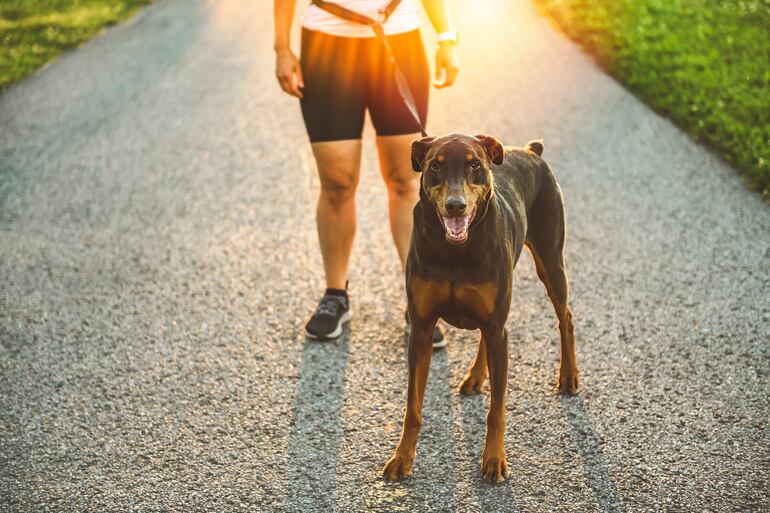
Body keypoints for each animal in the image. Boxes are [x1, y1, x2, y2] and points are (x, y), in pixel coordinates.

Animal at [380, 132, 580, 480]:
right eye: (435, 166)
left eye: (474, 165)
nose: (455, 205)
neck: (455, 251)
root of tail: (531, 151)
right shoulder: (421, 329)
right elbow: (413, 406)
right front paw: (402, 457)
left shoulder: (498, 325)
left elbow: (496, 409)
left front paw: (494, 459)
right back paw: (475, 377)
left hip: (551, 261)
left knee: (564, 317)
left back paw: (568, 376)